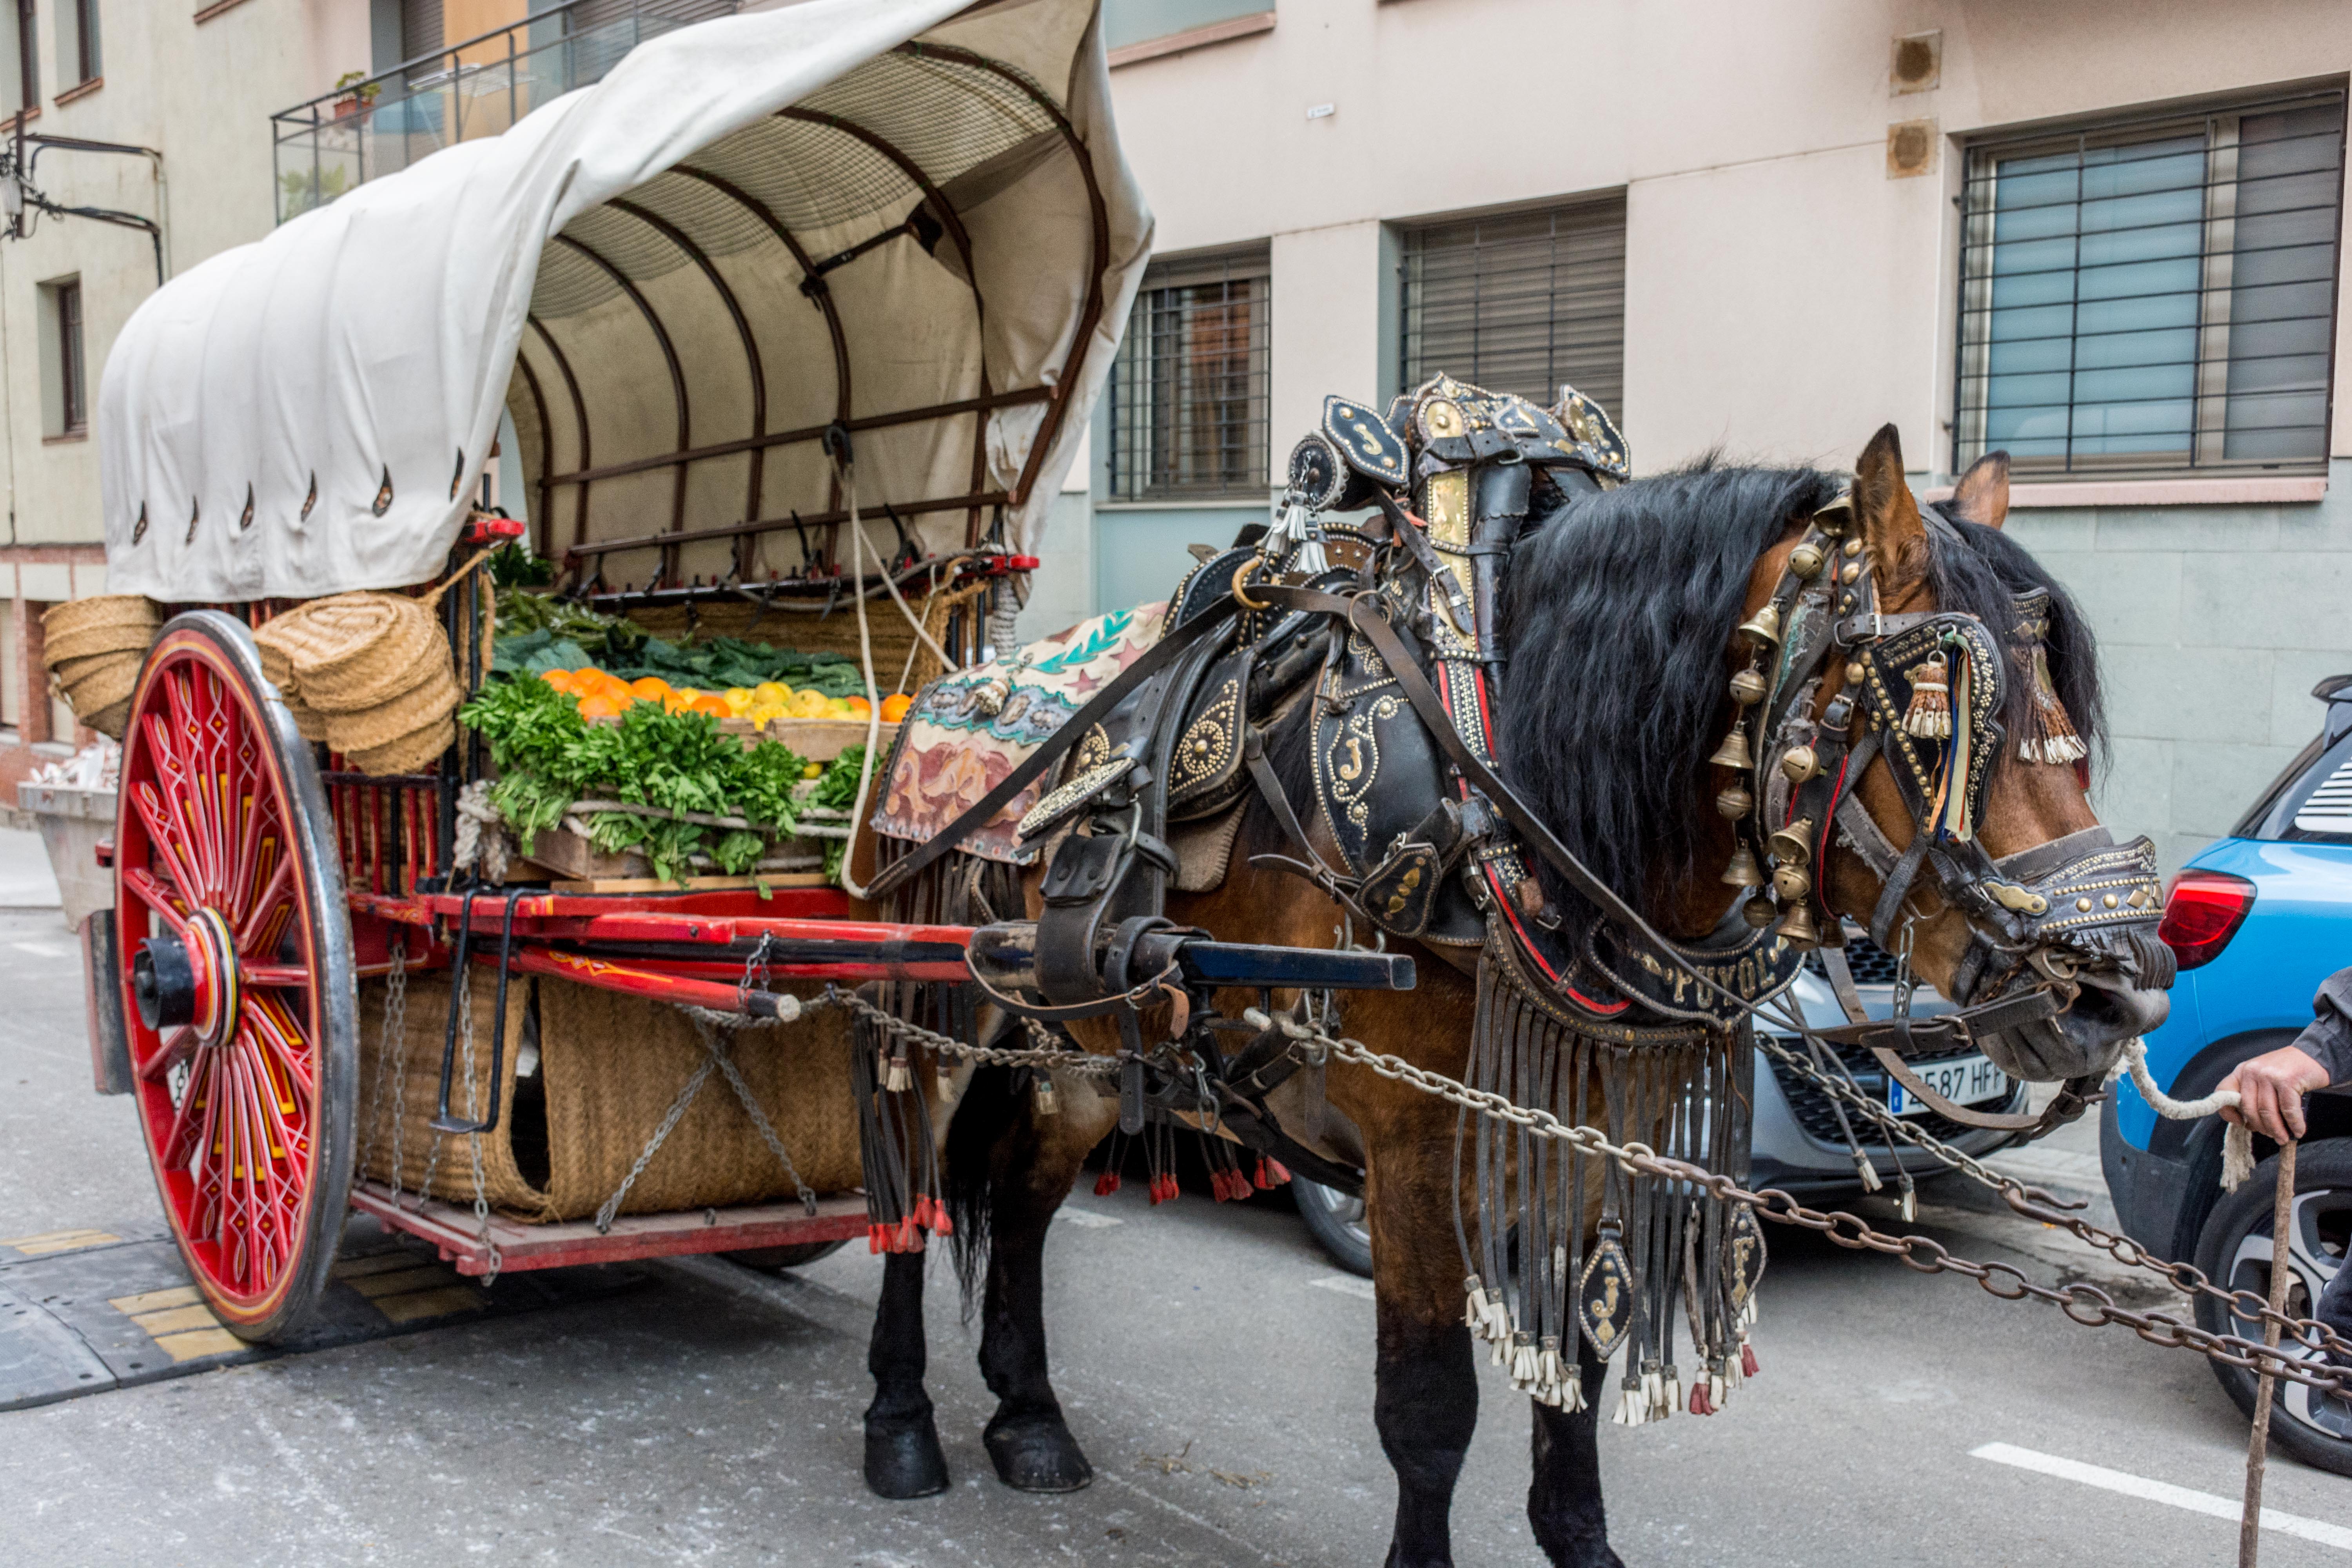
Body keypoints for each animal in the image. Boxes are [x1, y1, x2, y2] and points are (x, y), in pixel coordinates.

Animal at [842, 421, 2164, 1568]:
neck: (1504, 798)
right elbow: (1428, 1408)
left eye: (2060, 703)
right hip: (939, 996)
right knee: (916, 1182)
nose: (2118, 990)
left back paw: (1029, 1417)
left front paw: (1582, 1541)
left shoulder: (1584, 1127)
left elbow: (1576, 1370)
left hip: (1080, 1036)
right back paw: (901, 1420)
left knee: (1019, 1194)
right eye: (1935, 723)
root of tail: (943, 691)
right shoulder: (1412, 1147)